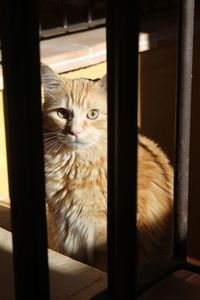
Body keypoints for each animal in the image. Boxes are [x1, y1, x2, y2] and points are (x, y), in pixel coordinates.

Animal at [41, 64, 173, 270]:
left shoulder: (101, 232)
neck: (77, 166)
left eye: (93, 114)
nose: (75, 132)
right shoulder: (64, 227)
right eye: (62, 113)